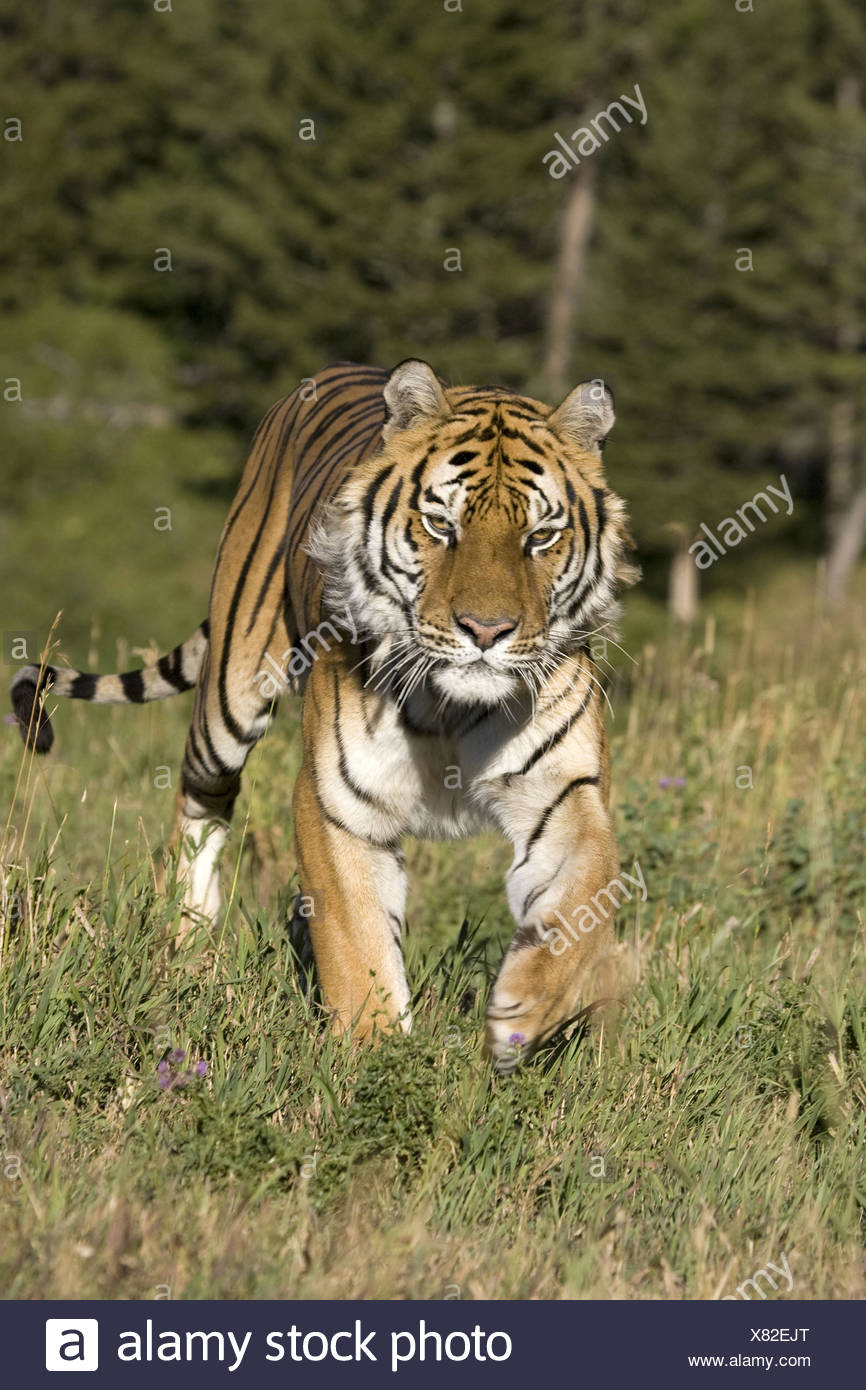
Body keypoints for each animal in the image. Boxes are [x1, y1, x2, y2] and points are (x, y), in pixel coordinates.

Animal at [11, 359, 638, 1070]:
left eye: (541, 537)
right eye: (441, 526)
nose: (486, 630)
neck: (452, 707)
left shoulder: (565, 790)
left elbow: (584, 893)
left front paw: (522, 1011)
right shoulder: (337, 797)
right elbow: (357, 938)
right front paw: (376, 1062)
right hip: (230, 694)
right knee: (200, 799)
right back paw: (188, 945)